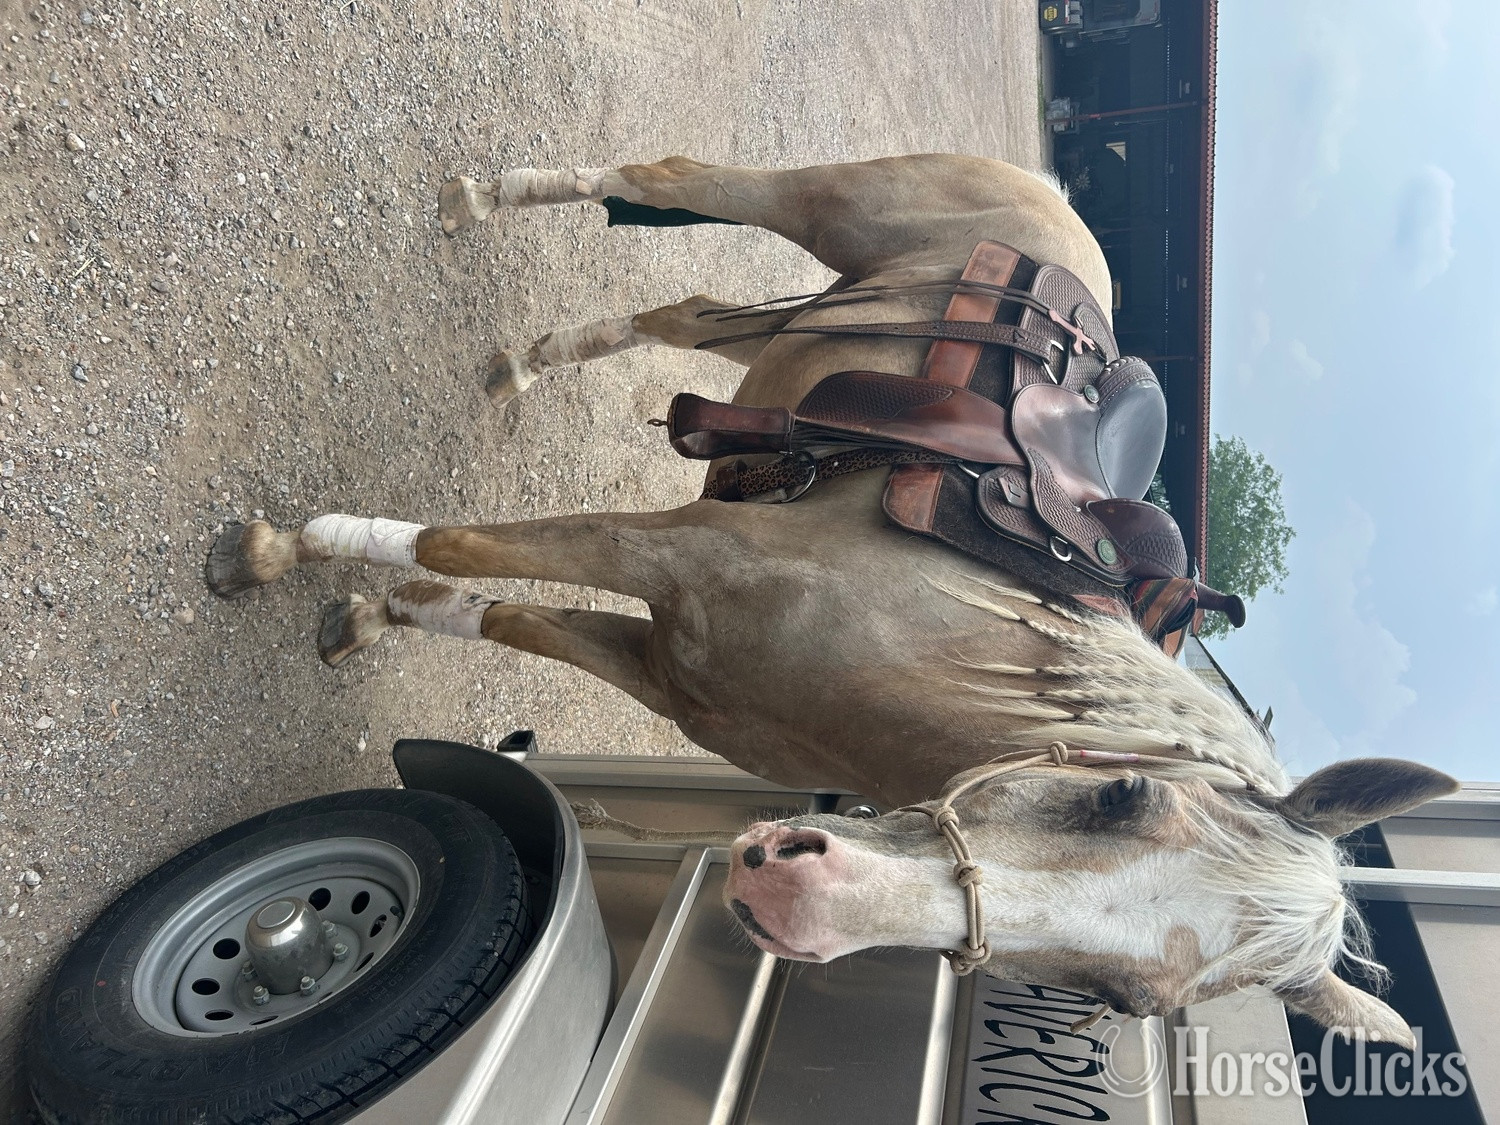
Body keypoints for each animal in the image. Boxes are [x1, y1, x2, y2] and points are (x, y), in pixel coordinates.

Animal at [205, 154, 1456, 1044]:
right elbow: (463, 540)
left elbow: (497, 609)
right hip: (821, 204)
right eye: (1124, 796)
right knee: (666, 176)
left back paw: (524, 361)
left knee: (684, 314)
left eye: (1128, 1003)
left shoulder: (666, 669)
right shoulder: (672, 555)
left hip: (810, 312)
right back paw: (480, 198)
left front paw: (365, 614)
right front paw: (273, 552)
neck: (908, 645)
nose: (804, 904)